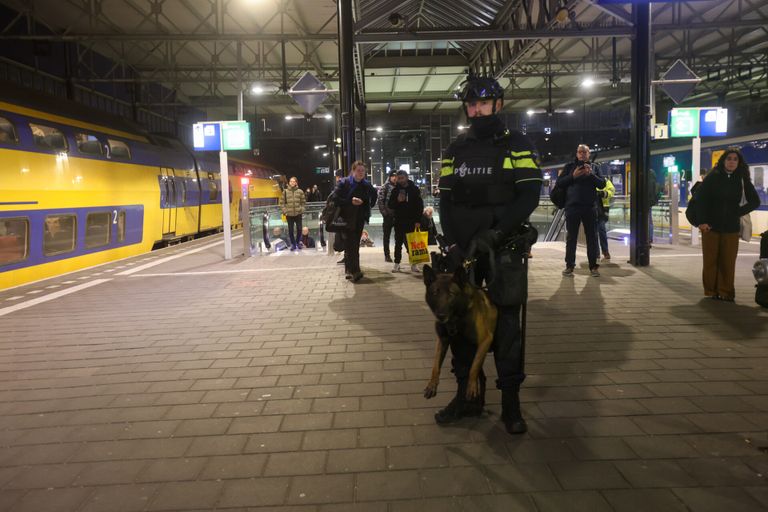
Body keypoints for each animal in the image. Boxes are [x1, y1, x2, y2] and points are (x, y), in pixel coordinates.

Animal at [424, 266, 496, 402]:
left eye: (451, 294)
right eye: (435, 293)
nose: (441, 316)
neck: (455, 320)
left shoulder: (485, 340)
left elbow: (474, 367)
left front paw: (472, 386)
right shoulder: (442, 340)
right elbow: (435, 365)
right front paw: (432, 384)